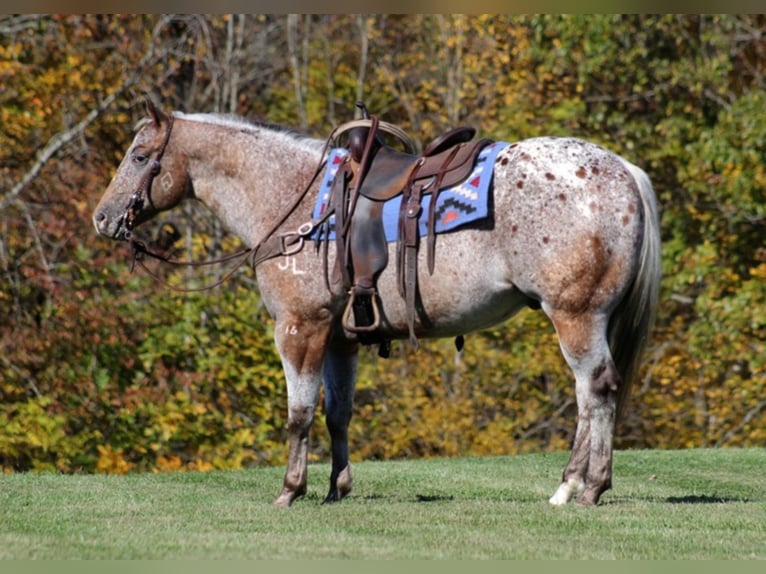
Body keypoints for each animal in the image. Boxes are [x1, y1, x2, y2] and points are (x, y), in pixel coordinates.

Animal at [94, 99, 660, 508]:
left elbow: (298, 414)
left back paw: (585, 488)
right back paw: (571, 485)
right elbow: (337, 415)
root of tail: (623, 170)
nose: (103, 217)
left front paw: (290, 491)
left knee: (596, 390)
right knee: (590, 395)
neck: (296, 202)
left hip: (576, 316)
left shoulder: (300, 328)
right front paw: (335, 489)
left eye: (139, 157)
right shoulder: (341, 339)